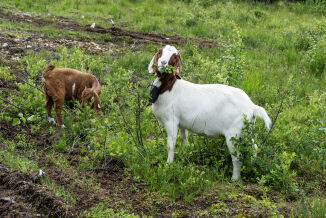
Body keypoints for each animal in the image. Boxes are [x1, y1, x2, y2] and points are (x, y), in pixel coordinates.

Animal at [148, 44, 270, 181]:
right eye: (160, 52)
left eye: (174, 57)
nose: (163, 63)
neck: (169, 87)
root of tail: (251, 106)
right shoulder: (182, 123)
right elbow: (184, 139)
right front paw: (186, 154)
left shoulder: (171, 120)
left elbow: (171, 144)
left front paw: (168, 165)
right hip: (246, 130)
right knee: (254, 147)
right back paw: (252, 166)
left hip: (234, 133)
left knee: (236, 156)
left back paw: (235, 178)